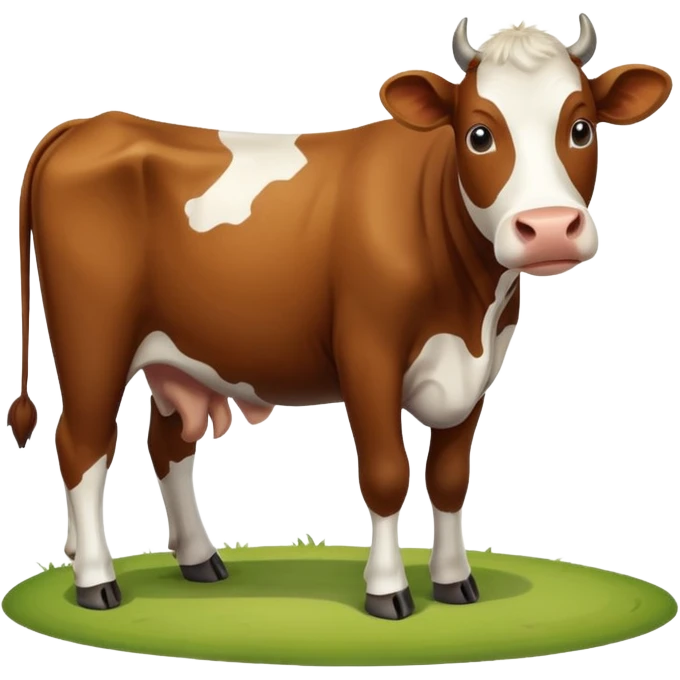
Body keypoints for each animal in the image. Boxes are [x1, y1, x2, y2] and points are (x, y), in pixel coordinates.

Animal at [7, 13, 672, 621]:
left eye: (581, 127)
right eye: (480, 133)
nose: (550, 228)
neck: (469, 303)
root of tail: (90, 124)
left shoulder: (479, 366)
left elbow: (450, 477)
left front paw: (455, 582)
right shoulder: (367, 353)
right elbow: (385, 474)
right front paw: (388, 592)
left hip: (179, 355)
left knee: (167, 445)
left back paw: (196, 559)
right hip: (92, 339)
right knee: (84, 444)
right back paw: (97, 582)